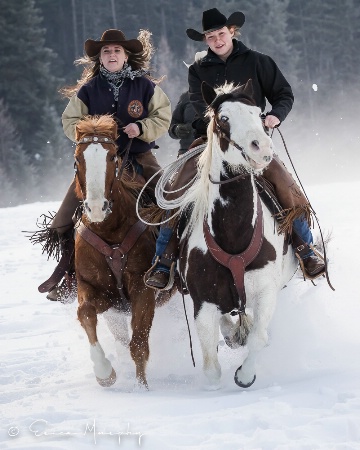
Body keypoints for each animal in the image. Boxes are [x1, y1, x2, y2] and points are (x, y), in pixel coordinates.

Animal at [74, 114, 160, 388]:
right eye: (77, 160)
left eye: (112, 157)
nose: (96, 207)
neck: (110, 231)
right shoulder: (100, 292)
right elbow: (86, 313)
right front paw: (104, 372)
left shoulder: (143, 288)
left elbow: (139, 345)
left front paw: (143, 389)